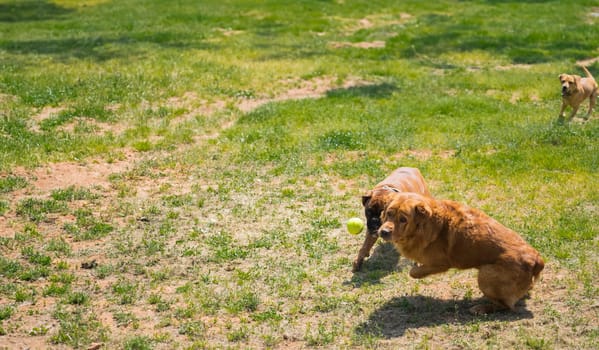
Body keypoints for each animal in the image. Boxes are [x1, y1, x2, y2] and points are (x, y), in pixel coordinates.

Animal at [382, 191, 548, 314]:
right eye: (389, 214)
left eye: (403, 219)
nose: (383, 232)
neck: (426, 224)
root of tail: (537, 260)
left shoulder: (440, 263)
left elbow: (414, 272)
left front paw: (415, 270)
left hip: (485, 275)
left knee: (506, 306)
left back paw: (482, 308)